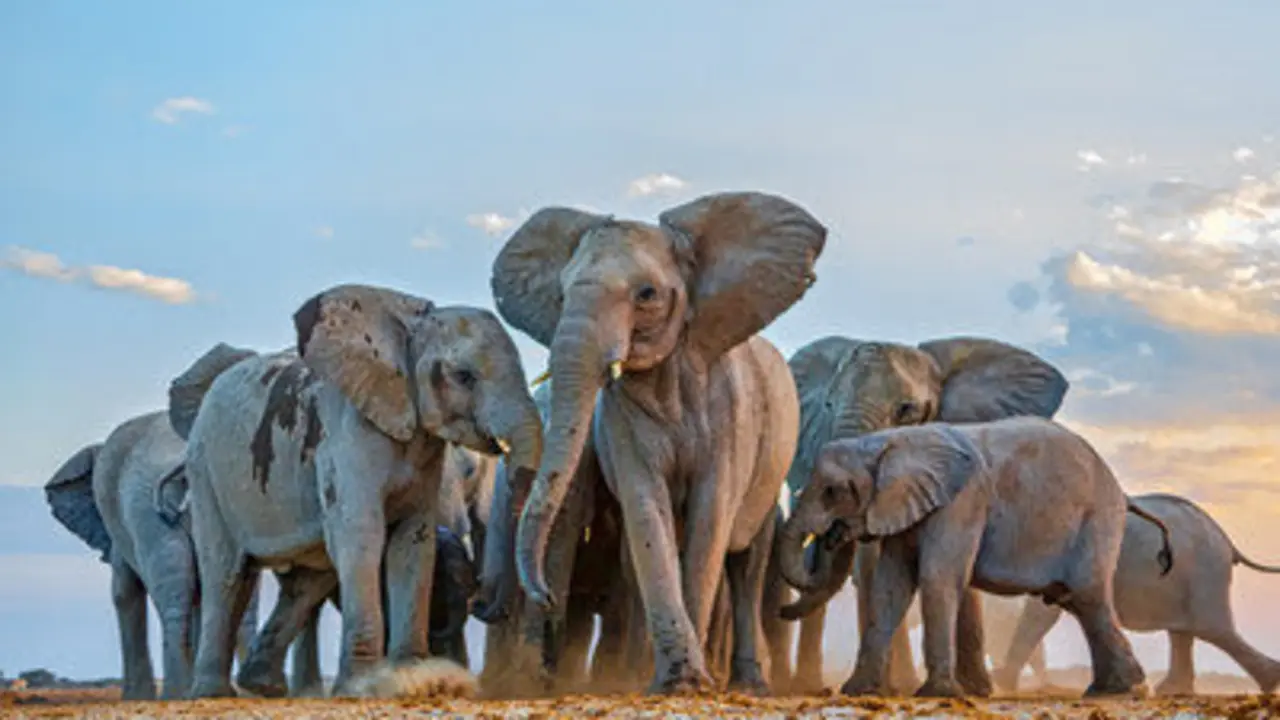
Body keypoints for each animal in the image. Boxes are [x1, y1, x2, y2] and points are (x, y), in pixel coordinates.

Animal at [166, 282, 543, 697]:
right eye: (464, 376)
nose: (482, 602)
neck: (407, 331)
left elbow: (413, 541)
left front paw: (416, 678)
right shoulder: (345, 433)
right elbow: (362, 534)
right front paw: (363, 687)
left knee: (306, 581)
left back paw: (261, 686)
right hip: (205, 471)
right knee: (227, 572)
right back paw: (214, 693)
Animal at [490, 191, 828, 694]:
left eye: (646, 294)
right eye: (561, 294)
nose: (545, 595)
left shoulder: (733, 414)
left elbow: (712, 518)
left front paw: (692, 684)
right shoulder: (621, 418)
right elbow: (646, 507)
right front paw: (673, 682)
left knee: (746, 561)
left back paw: (749, 684)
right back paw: (635, 673)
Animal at [779, 417, 1174, 698]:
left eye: (833, 491)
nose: (782, 610)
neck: (890, 440)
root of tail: (1122, 492)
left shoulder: (961, 501)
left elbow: (937, 579)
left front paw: (936, 694)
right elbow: (891, 586)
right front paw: (857, 691)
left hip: (1096, 520)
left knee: (1088, 596)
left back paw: (1124, 692)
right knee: (1078, 602)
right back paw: (1109, 691)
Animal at [994, 492, 1280, 696]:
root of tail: (1228, 543)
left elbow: (1041, 612)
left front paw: (1003, 685)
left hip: (1204, 573)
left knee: (1211, 629)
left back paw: (1270, 683)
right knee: (1184, 631)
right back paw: (1172, 691)